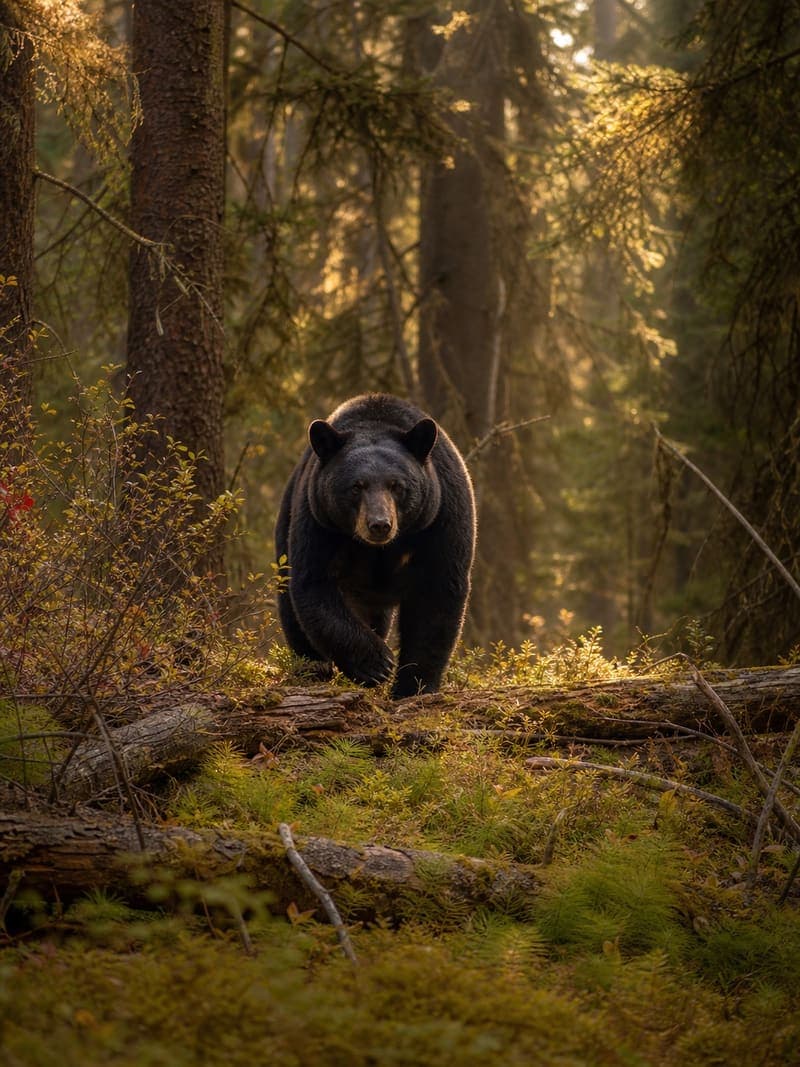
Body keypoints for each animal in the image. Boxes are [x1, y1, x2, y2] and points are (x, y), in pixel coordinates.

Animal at [275, 393, 476, 698]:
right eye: (356, 486)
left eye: (396, 485)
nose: (379, 524)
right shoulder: (320, 520)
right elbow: (316, 583)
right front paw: (377, 664)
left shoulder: (440, 518)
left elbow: (438, 593)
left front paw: (413, 686)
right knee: (291, 608)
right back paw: (311, 670)